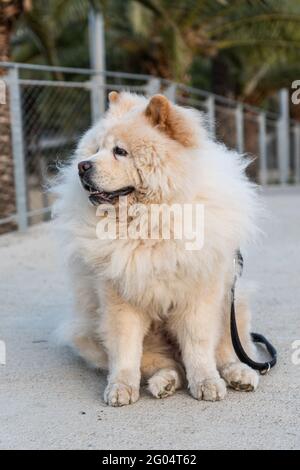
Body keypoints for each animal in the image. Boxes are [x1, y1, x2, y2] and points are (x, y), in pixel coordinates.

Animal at [54, 91, 260, 404]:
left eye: (120, 151)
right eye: (96, 149)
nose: (83, 166)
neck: (150, 221)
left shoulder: (201, 295)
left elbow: (199, 345)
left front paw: (207, 382)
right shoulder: (119, 298)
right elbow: (125, 349)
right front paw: (120, 387)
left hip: (233, 304)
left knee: (227, 350)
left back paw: (239, 374)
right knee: (164, 364)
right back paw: (165, 382)